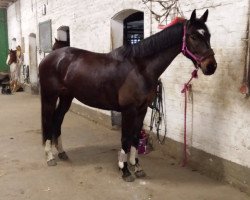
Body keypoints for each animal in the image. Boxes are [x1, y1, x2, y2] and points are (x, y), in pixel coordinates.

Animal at [39, 9, 217, 181]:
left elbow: (135, 138)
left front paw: (136, 167)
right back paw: (49, 157)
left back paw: (61, 153)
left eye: (208, 35)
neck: (140, 68)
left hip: (66, 97)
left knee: (57, 120)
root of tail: (50, 57)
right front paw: (124, 170)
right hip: (50, 97)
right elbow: (125, 139)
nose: (211, 66)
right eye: (193, 36)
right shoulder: (128, 110)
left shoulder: (142, 109)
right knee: (48, 120)